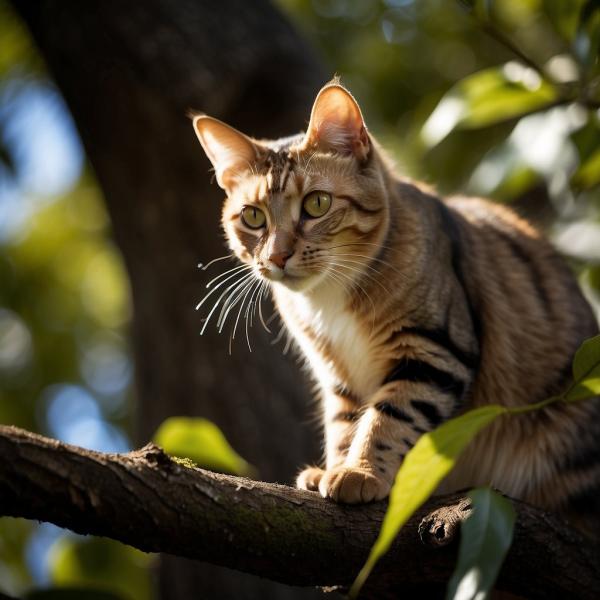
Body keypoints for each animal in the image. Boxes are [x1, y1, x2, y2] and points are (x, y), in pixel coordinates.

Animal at [192, 79, 600, 536]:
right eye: (252, 217)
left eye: (317, 204)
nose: (277, 256)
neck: (328, 299)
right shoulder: (338, 374)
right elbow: (345, 424)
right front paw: (335, 468)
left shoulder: (432, 349)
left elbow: (389, 417)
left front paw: (360, 472)